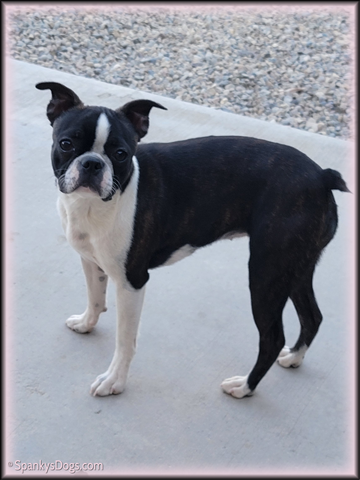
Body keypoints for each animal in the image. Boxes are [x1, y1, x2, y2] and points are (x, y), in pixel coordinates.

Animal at [35, 81, 348, 398]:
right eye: (66, 144)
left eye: (121, 154)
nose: (92, 163)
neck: (96, 203)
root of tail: (321, 176)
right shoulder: (91, 260)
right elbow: (95, 297)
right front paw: (86, 323)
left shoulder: (131, 282)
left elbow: (125, 340)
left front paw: (114, 381)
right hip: (295, 268)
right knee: (312, 316)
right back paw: (294, 357)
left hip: (267, 273)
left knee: (272, 338)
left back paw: (244, 386)